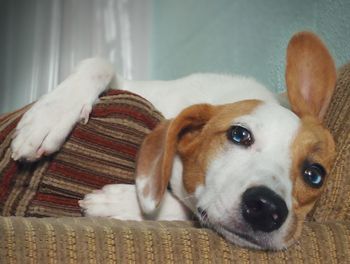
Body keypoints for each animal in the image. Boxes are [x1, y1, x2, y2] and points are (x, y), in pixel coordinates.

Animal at [10, 31, 336, 250]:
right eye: (239, 134)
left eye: (314, 174)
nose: (267, 208)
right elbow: (100, 63)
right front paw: (48, 116)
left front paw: (122, 203)